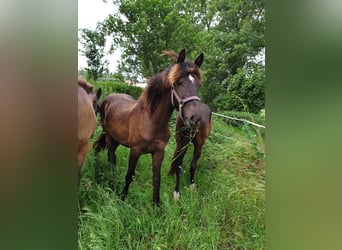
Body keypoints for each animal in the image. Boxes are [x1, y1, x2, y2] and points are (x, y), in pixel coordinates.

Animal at [94, 48, 203, 205]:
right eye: (178, 82)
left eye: (199, 84)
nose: (195, 119)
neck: (152, 122)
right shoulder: (135, 151)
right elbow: (129, 175)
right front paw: (122, 197)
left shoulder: (158, 152)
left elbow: (157, 179)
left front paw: (156, 205)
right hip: (109, 137)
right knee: (111, 157)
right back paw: (112, 177)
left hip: (116, 139)